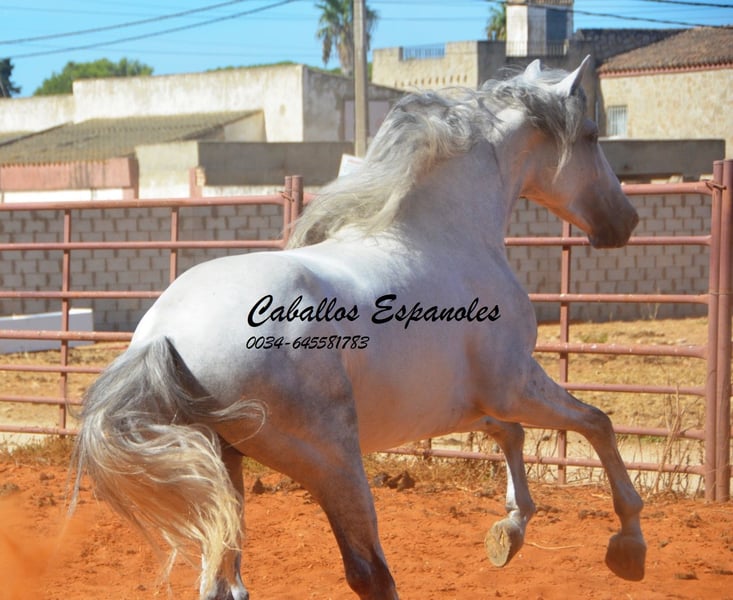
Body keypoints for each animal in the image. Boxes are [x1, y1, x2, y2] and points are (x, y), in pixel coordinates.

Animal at [72, 56, 645, 600]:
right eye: (591, 134)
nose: (626, 222)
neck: (443, 234)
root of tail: (161, 336)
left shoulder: (456, 406)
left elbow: (512, 433)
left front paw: (511, 531)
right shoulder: (513, 385)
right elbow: (596, 422)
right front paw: (627, 544)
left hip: (224, 464)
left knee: (221, 581)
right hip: (332, 462)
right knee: (369, 574)